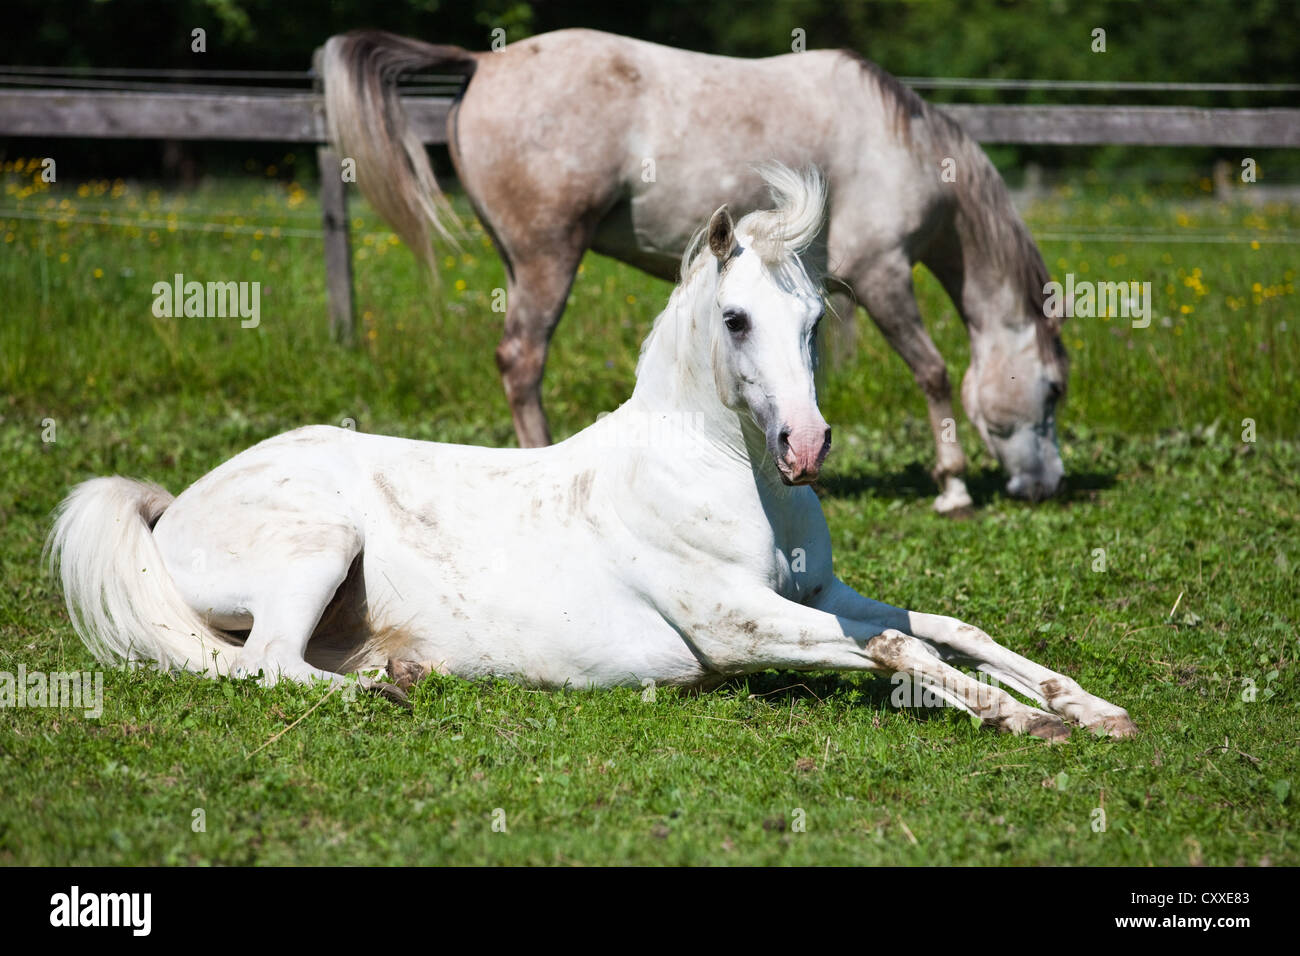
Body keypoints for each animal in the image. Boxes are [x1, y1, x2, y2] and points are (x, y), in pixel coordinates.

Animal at [48, 166, 1138, 738]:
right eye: (735, 319)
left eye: (815, 318)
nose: (805, 444)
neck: (726, 481)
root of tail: (169, 507)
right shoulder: (736, 627)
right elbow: (896, 647)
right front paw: (1026, 720)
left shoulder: (816, 593)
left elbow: (947, 624)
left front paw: (1088, 705)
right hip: (314, 549)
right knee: (265, 664)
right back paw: (391, 686)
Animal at [325, 26, 1066, 512]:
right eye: (1055, 390)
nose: (1046, 485)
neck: (901, 143)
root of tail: (483, 61)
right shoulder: (881, 274)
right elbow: (933, 372)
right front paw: (954, 485)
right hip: (547, 257)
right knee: (522, 360)